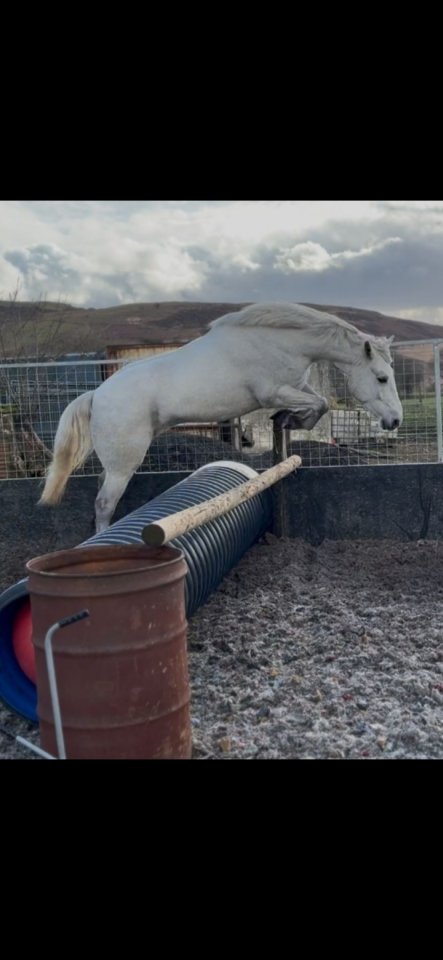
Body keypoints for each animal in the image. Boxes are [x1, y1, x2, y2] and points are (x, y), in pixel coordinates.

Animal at [39, 302, 403, 531]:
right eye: (382, 377)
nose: (395, 421)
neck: (279, 342)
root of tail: (97, 395)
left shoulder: (295, 387)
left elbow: (317, 404)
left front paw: (288, 420)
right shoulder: (272, 391)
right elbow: (320, 404)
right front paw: (292, 420)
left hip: (116, 462)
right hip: (124, 464)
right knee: (104, 503)